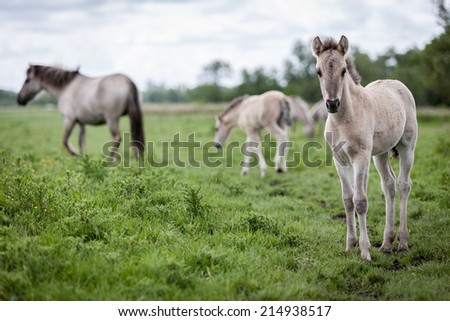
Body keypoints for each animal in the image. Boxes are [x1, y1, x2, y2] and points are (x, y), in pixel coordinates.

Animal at [16, 64, 144, 159]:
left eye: (27, 80)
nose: (19, 99)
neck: (66, 87)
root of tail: (127, 81)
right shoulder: (81, 123)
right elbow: (81, 142)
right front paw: (83, 159)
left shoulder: (69, 119)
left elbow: (65, 140)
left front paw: (74, 154)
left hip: (111, 119)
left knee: (117, 137)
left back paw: (110, 161)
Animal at [312, 35, 418, 260]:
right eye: (318, 71)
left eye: (344, 70)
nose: (332, 104)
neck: (343, 119)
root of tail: (395, 82)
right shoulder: (340, 160)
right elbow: (347, 199)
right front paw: (350, 245)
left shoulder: (360, 156)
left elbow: (360, 200)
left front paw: (365, 251)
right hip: (380, 154)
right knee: (389, 185)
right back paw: (386, 243)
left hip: (407, 147)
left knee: (403, 185)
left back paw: (402, 242)